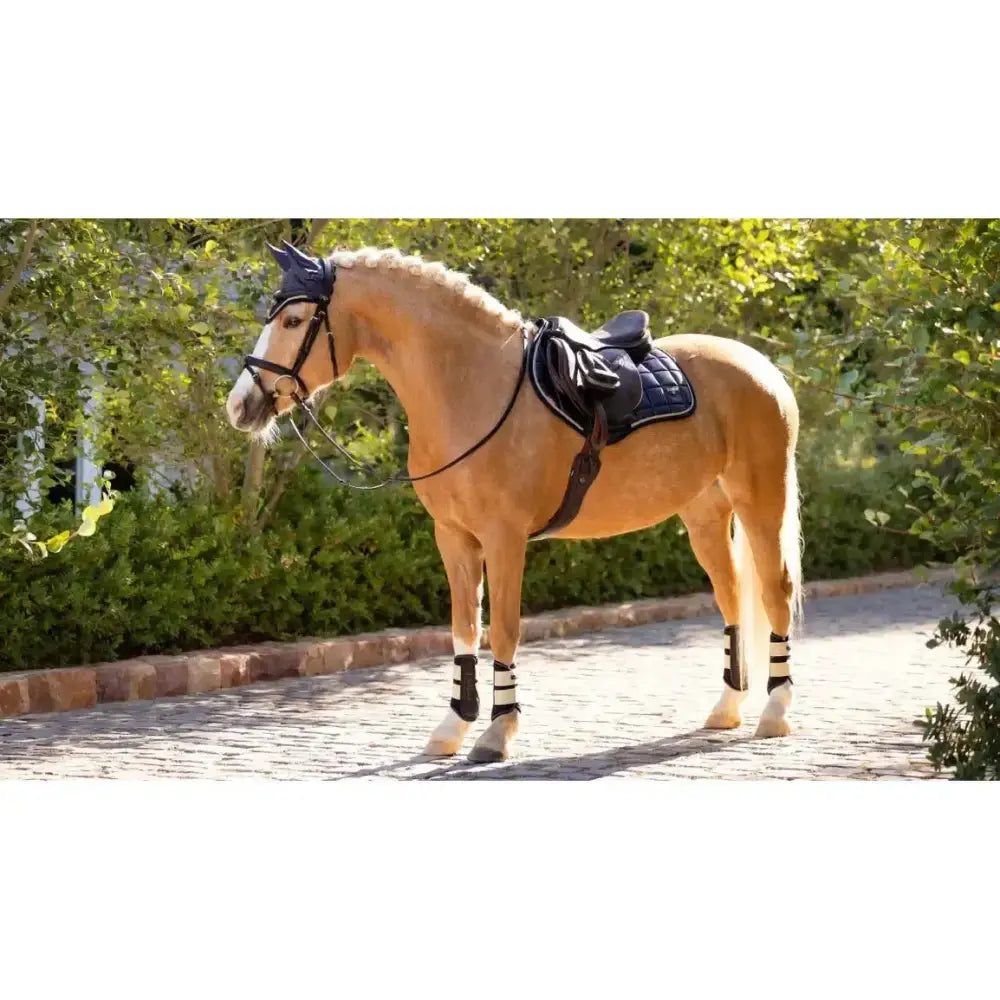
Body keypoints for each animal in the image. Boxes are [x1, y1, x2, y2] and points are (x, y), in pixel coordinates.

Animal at [226, 243, 802, 763]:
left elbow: (503, 630)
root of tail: (762, 367)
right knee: (731, 598)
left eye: (295, 319)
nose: (240, 405)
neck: (472, 386)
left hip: (760, 501)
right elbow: (464, 629)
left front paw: (497, 732)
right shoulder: (453, 537)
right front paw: (453, 727)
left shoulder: (505, 538)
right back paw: (727, 709)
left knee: (775, 591)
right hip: (705, 514)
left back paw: (775, 712)